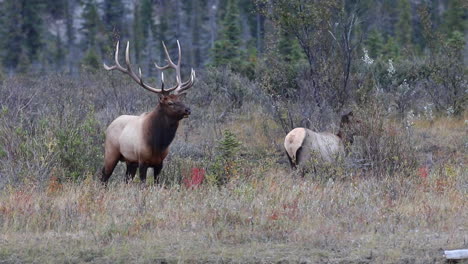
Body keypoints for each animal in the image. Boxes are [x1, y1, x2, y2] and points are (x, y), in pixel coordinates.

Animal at [100, 40, 196, 184]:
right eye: (170, 103)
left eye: (181, 99)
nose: (188, 110)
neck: (158, 143)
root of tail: (110, 124)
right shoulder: (142, 161)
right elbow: (143, 184)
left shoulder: (159, 163)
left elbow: (156, 183)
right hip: (111, 152)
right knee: (104, 176)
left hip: (130, 161)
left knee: (125, 179)